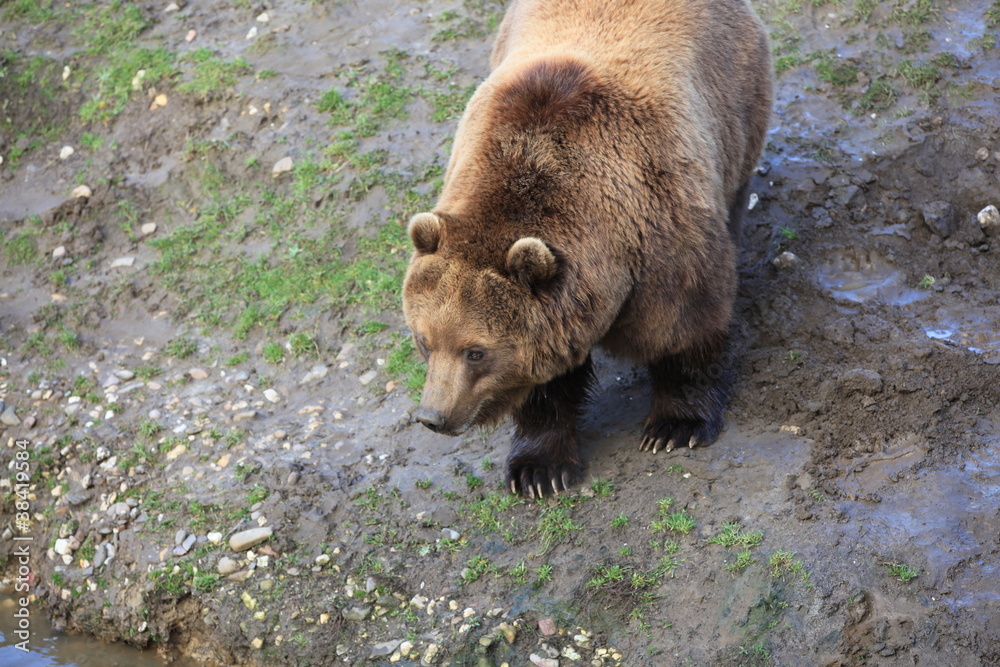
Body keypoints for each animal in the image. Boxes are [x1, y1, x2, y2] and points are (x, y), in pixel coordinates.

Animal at [404, 0, 772, 496]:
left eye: (475, 351)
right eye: (424, 341)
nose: (433, 417)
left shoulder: (659, 233)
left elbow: (684, 324)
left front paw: (675, 426)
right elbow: (544, 381)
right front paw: (538, 470)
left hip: (734, 104)